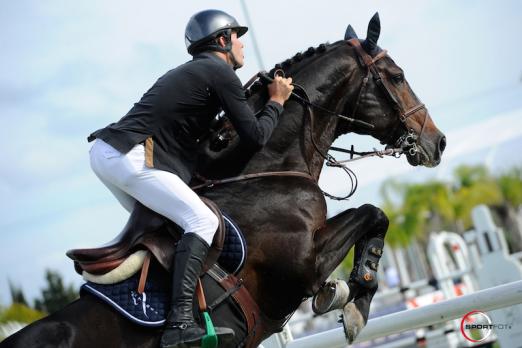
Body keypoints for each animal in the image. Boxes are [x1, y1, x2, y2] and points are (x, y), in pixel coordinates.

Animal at [2, 14, 444, 348]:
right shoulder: (303, 264)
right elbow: (373, 213)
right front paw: (354, 302)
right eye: (397, 76)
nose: (436, 142)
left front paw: (349, 296)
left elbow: (374, 215)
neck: (267, 167)